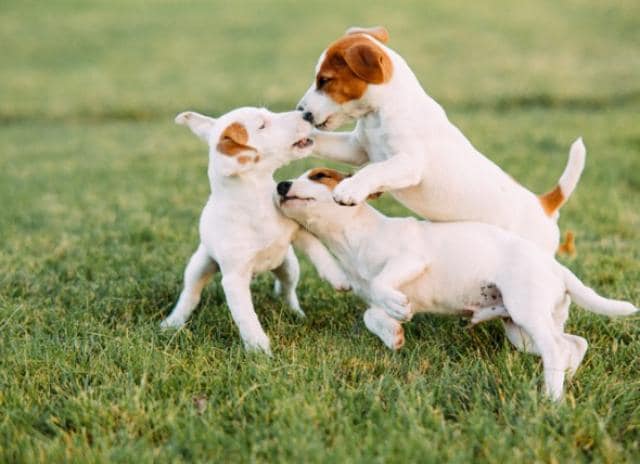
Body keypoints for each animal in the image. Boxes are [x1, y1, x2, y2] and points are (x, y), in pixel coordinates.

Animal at [160, 108, 350, 356]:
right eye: (262, 125)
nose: (306, 113)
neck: (256, 200)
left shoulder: (297, 230)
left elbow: (318, 250)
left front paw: (338, 277)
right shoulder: (234, 279)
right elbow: (246, 316)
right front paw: (259, 349)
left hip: (289, 266)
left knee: (287, 290)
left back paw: (295, 312)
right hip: (199, 265)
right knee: (191, 294)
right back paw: (172, 322)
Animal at [274, 169, 636, 400]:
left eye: (319, 176)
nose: (280, 184)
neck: (353, 238)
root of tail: (557, 268)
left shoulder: (411, 259)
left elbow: (381, 282)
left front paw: (396, 312)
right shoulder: (372, 298)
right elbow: (371, 314)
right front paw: (392, 334)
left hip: (527, 312)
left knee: (557, 349)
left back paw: (551, 398)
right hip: (520, 330)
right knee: (572, 345)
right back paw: (566, 380)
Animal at [298, 27, 584, 256]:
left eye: (325, 80)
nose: (302, 111)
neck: (382, 111)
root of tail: (543, 205)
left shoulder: (409, 163)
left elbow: (375, 169)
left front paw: (350, 189)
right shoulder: (356, 148)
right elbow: (324, 141)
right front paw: (297, 136)